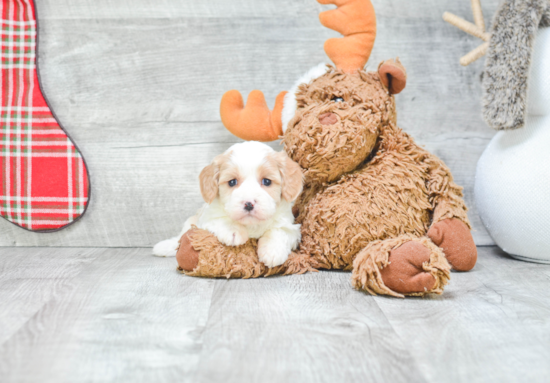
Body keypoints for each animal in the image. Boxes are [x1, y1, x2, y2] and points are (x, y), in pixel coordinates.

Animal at [153, 140, 304, 268]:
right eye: (232, 182)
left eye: (267, 181)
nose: (249, 204)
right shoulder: (206, 219)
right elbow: (221, 219)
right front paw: (233, 231)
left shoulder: (291, 227)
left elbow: (279, 231)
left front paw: (273, 251)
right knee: (179, 238)